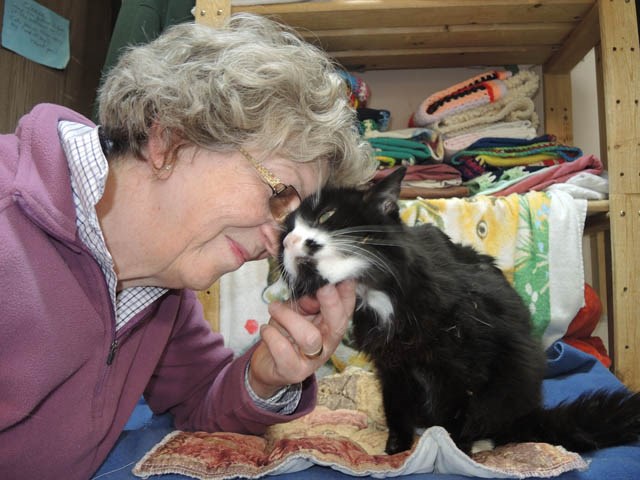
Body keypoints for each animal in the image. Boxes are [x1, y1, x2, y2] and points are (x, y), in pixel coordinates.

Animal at [278, 168, 640, 454]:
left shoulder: (463, 368)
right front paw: (397, 449)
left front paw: (452, 450)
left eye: (326, 215)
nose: (288, 242)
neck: (378, 294)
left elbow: (457, 412)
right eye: (285, 231)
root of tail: (529, 414)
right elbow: (395, 407)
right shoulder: (392, 366)